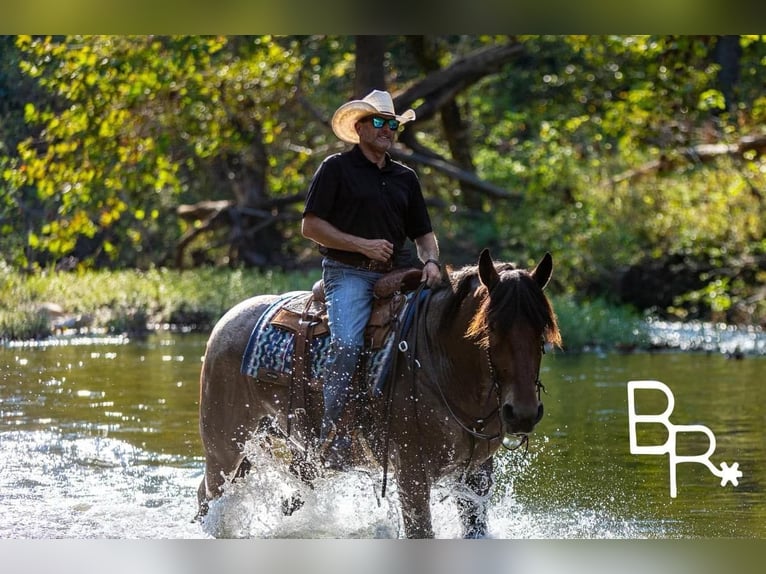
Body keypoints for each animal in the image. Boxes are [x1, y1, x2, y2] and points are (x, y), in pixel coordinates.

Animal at [196, 249, 561, 538]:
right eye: (491, 327)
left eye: (542, 330)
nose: (522, 413)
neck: (438, 360)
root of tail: (227, 319)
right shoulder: (412, 474)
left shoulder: (477, 474)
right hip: (224, 448)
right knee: (208, 499)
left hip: (290, 452)